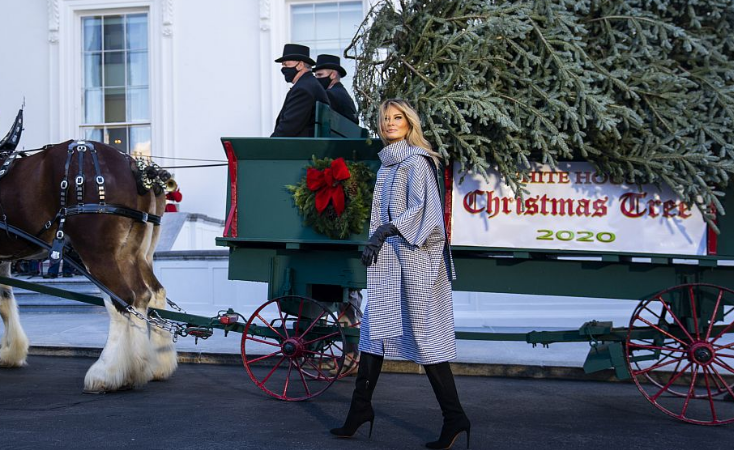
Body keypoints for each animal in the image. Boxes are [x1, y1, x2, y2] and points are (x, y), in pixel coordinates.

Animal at [0, 140, 178, 390]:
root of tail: (136, 167)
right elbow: (5, 301)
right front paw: (9, 352)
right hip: (134, 253)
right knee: (148, 295)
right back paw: (153, 365)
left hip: (96, 251)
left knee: (121, 299)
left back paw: (107, 372)